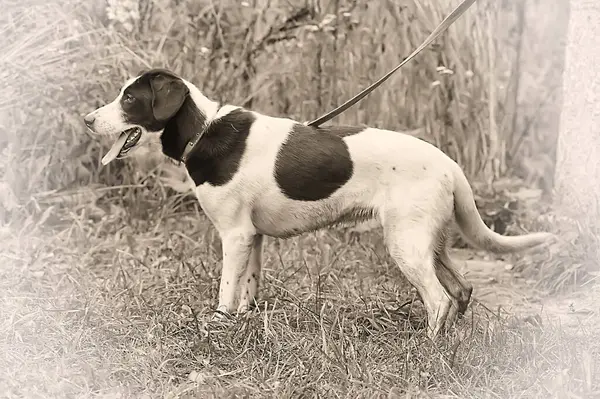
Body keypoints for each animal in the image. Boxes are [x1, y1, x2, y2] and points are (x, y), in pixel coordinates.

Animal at [84, 69, 552, 338]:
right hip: (428, 242)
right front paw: (244, 324)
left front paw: (216, 328)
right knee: (461, 290)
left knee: (438, 300)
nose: (87, 120)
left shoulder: (234, 236)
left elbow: (225, 292)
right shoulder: (252, 238)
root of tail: (449, 164)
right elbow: (248, 290)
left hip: (406, 244)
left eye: (130, 99)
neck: (205, 130)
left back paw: (426, 350)